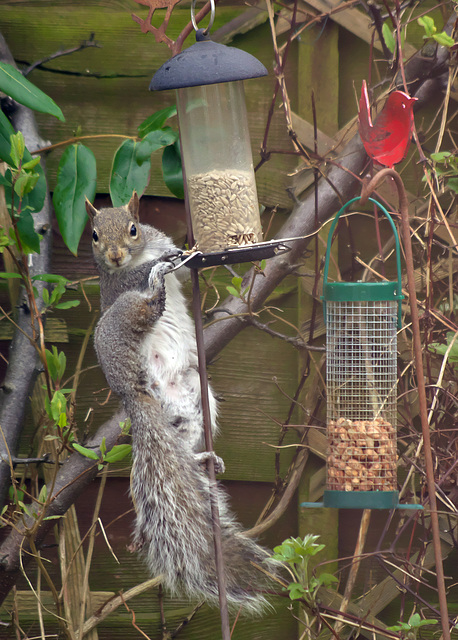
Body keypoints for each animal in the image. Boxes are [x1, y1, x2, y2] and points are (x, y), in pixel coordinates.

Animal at [85, 195, 218, 456]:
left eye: (133, 229)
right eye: (94, 235)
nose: (115, 256)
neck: (139, 255)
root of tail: (130, 389)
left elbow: (185, 272)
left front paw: (189, 252)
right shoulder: (116, 283)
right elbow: (137, 273)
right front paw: (162, 259)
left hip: (195, 390)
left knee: (186, 434)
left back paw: (203, 458)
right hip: (123, 311)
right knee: (148, 308)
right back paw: (157, 284)